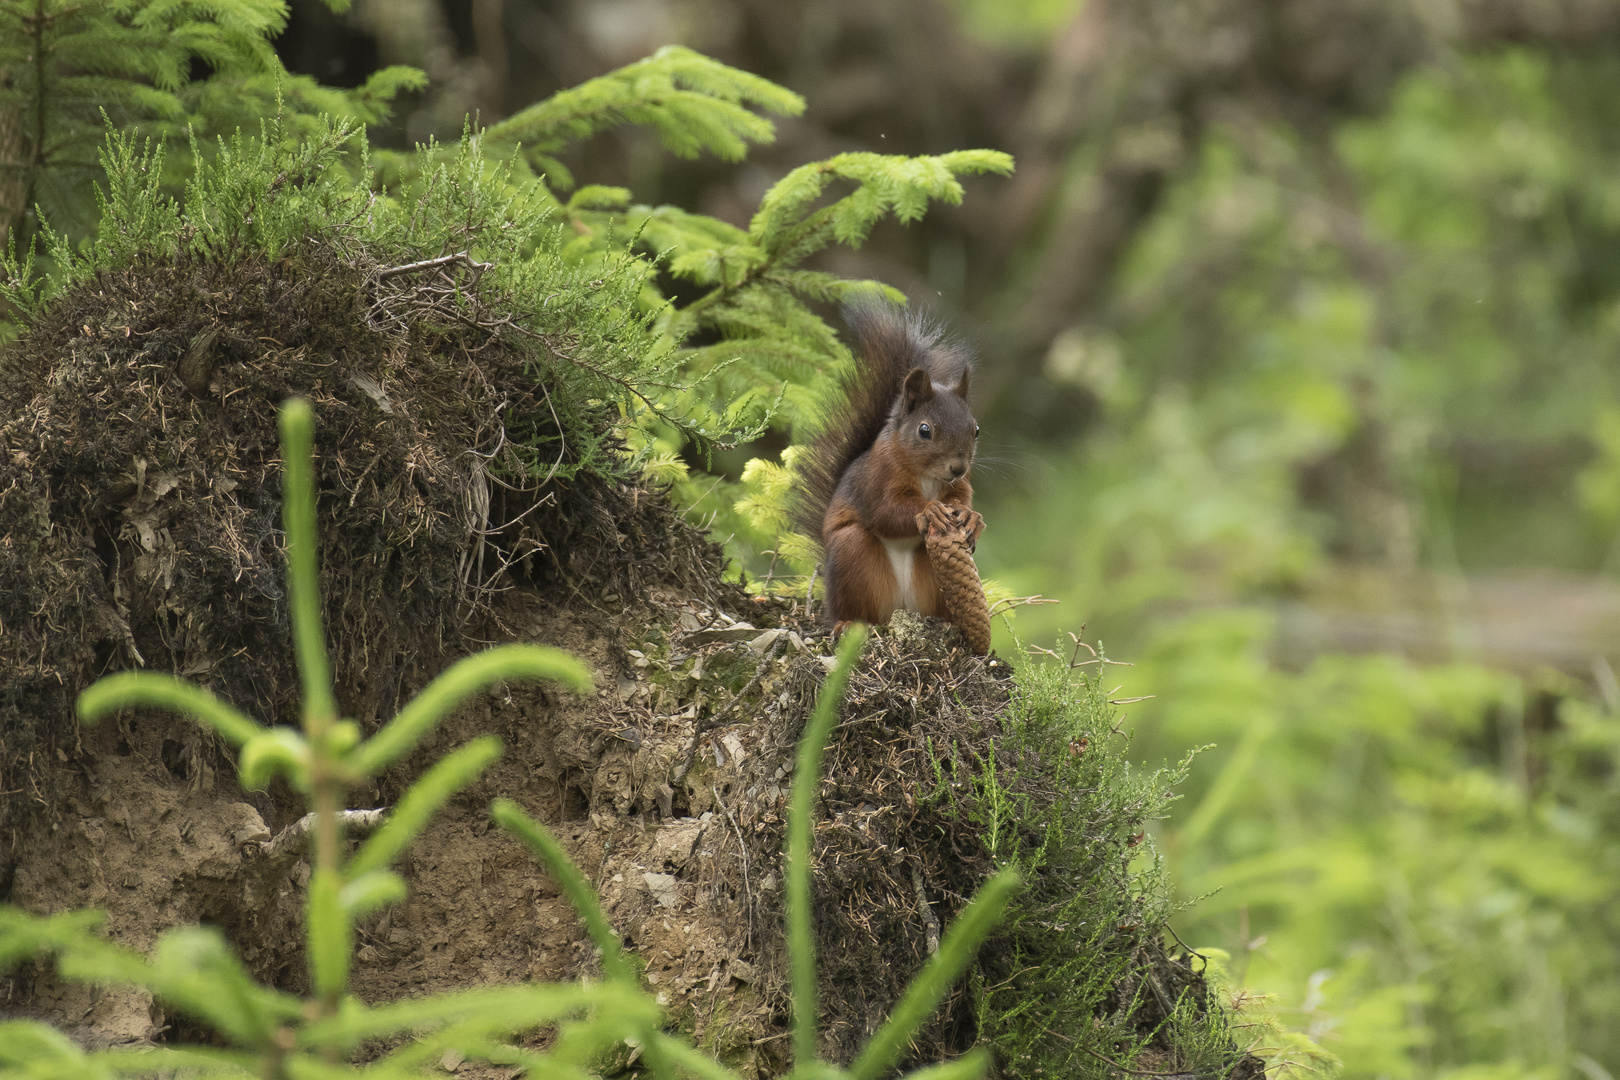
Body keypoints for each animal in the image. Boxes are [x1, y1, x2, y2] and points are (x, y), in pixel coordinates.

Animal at [797, 302, 984, 634]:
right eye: (924, 430)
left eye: (976, 430)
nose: (958, 467)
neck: (928, 477)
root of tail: (901, 609)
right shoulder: (876, 479)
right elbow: (885, 512)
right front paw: (929, 510)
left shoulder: (961, 485)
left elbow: (962, 500)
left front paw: (972, 517)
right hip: (851, 555)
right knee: (854, 606)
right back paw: (847, 622)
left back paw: (948, 623)